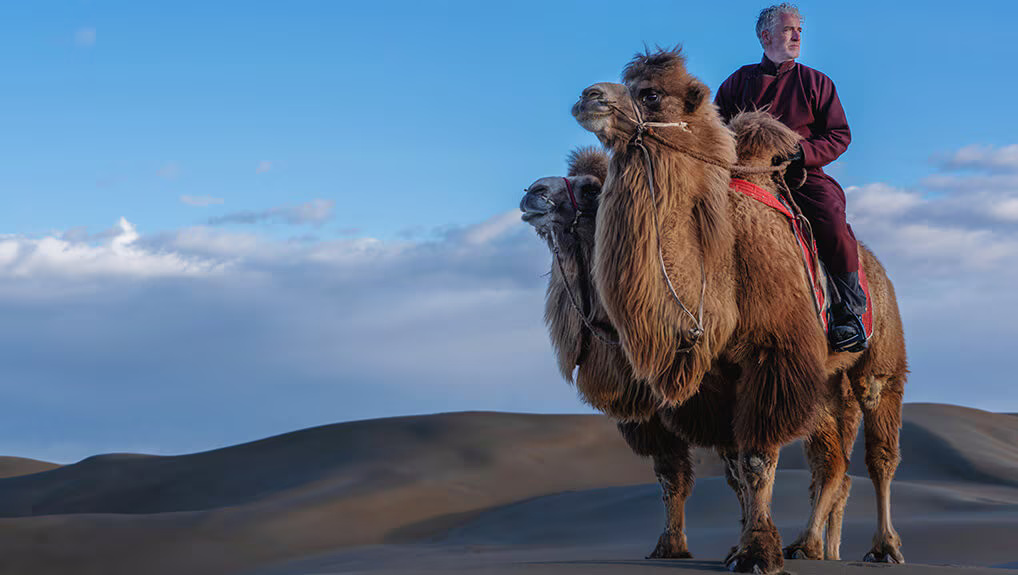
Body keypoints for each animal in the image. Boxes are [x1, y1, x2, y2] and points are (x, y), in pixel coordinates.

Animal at [569, 48, 907, 574]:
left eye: (651, 93)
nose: (589, 96)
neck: (722, 267)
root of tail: (879, 272)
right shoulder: (715, 377)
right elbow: (734, 465)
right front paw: (745, 544)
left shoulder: (774, 356)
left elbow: (757, 459)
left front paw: (755, 552)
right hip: (827, 382)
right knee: (830, 461)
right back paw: (811, 545)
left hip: (879, 365)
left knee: (880, 456)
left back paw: (884, 547)